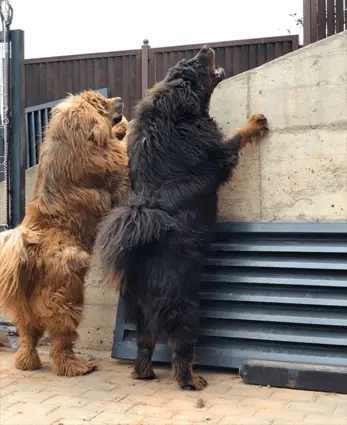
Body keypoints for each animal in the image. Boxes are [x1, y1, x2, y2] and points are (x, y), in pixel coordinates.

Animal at [0, 91, 129, 376]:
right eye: (102, 105)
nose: (119, 98)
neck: (69, 139)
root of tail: (29, 249)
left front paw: (122, 127)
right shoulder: (111, 165)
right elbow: (121, 152)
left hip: (25, 314)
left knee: (28, 339)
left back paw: (28, 363)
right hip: (69, 297)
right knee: (61, 342)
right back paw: (77, 366)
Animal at [95, 44, 270, 390]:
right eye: (194, 65)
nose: (205, 47)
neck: (172, 115)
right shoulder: (219, 154)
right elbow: (236, 137)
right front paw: (254, 122)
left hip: (141, 316)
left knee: (144, 345)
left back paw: (145, 373)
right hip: (186, 309)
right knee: (181, 350)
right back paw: (191, 380)